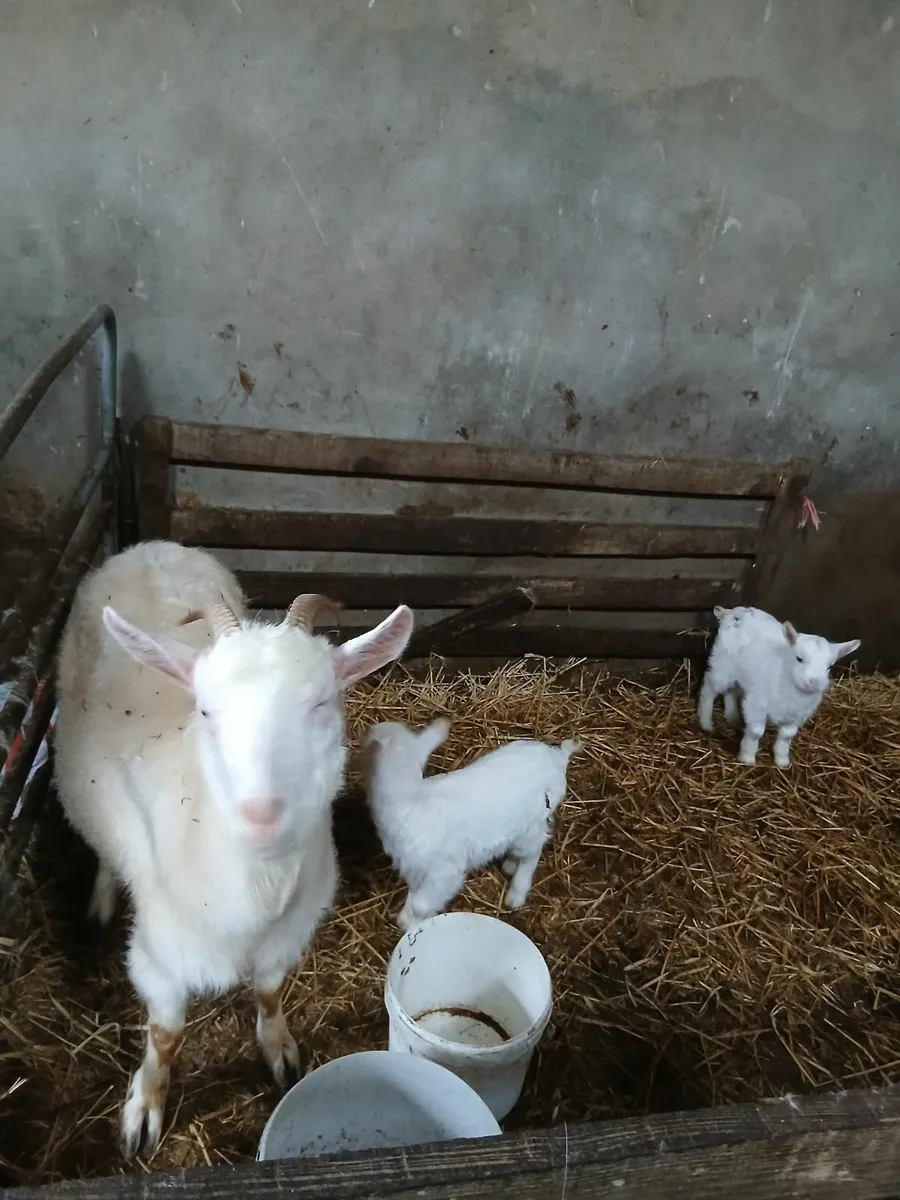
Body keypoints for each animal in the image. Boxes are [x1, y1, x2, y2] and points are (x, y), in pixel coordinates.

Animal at [54, 540, 413, 1157]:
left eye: (323, 703)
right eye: (204, 709)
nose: (262, 815)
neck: (258, 890)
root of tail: (152, 547)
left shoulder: (287, 936)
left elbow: (268, 993)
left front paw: (279, 1049)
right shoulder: (159, 954)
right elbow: (166, 1033)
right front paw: (145, 1107)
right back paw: (101, 898)